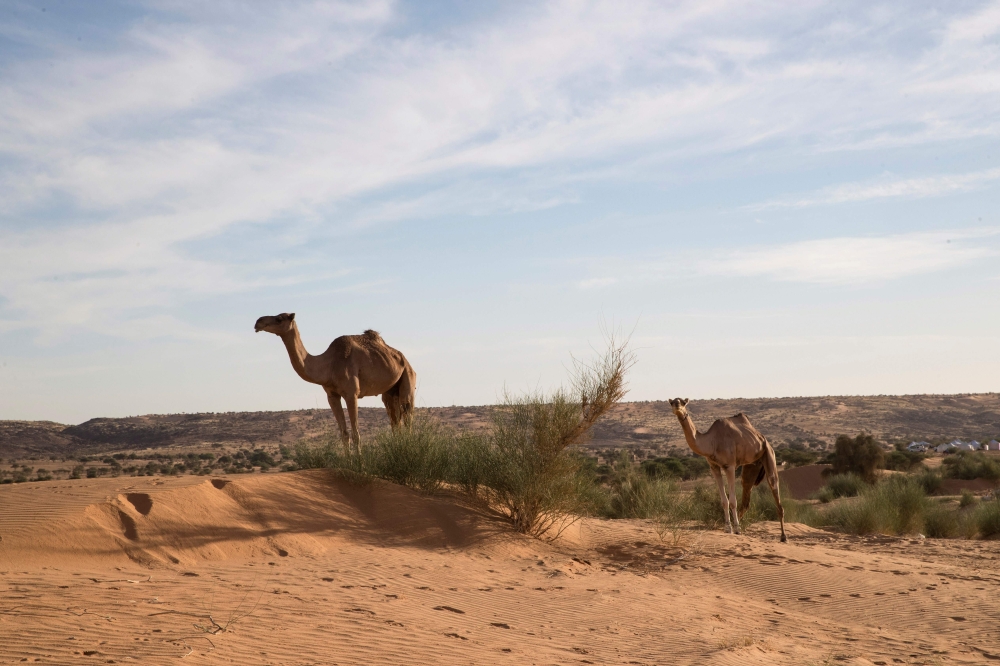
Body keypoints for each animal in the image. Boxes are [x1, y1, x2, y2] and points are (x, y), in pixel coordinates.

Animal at [254, 313, 416, 450]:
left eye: (279, 318)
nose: (258, 322)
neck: (329, 365)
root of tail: (404, 360)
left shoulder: (351, 394)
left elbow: (356, 434)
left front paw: (360, 465)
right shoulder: (332, 395)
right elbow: (344, 434)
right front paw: (349, 463)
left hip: (408, 379)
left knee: (407, 417)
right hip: (389, 393)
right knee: (395, 422)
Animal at [668, 398, 786, 542]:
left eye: (683, 402)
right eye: (672, 402)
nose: (677, 407)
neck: (712, 442)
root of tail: (763, 439)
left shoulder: (729, 466)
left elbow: (733, 501)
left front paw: (735, 529)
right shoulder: (714, 467)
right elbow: (724, 500)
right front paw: (728, 527)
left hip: (768, 455)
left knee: (774, 486)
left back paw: (783, 536)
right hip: (752, 465)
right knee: (746, 492)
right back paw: (739, 525)